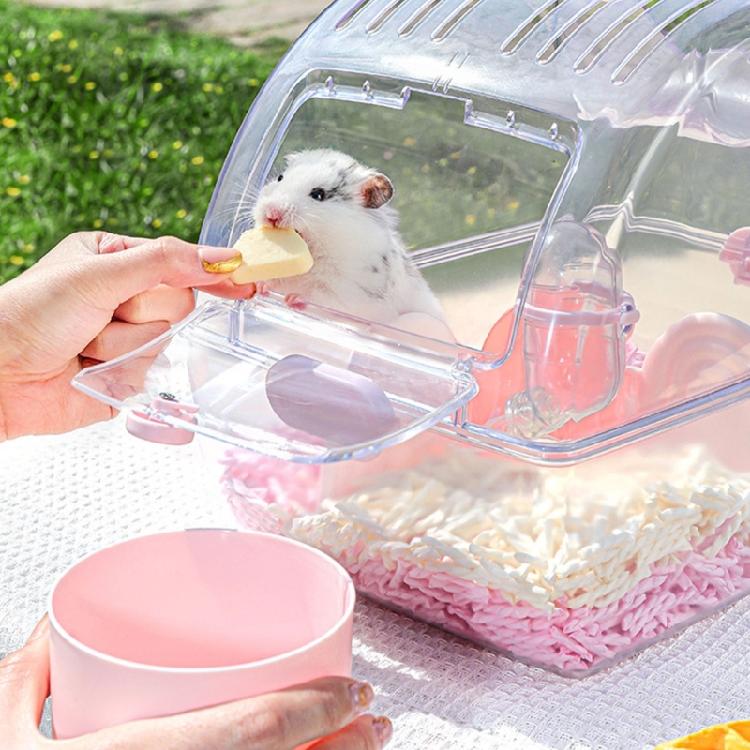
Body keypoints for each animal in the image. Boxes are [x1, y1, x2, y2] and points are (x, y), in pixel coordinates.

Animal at [251, 149, 448, 329]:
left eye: (318, 194)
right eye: (280, 178)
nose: (271, 213)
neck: (315, 251)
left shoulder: (352, 295)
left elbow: (324, 300)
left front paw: (294, 298)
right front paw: (260, 286)